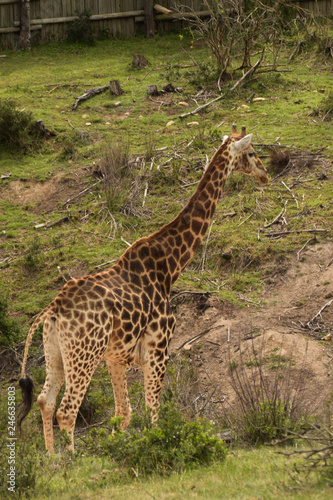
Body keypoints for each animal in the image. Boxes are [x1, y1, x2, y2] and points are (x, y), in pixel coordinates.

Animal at [17, 126, 268, 454]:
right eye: (251, 153)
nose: (265, 174)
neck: (170, 266)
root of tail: (53, 309)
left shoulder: (115, 358)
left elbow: (123, 413)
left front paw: (117, 452)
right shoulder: (158, 349)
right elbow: (153, 413)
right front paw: (154, 446)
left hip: (56, 352)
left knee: (45, 401)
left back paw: (52, 459)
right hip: (85, 353)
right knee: (67, 410)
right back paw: (72, 460)